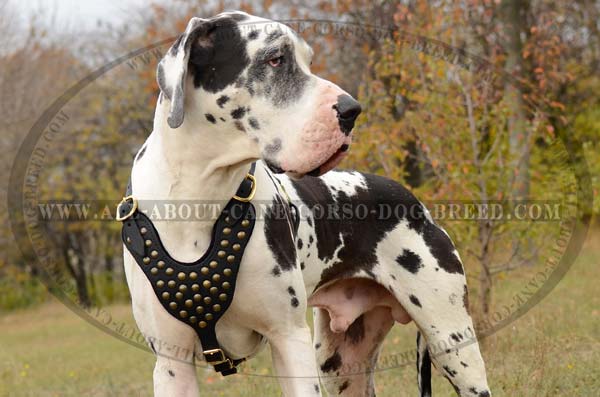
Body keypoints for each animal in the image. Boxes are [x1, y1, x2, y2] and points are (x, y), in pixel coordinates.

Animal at [123, 10, 492, 394]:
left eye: (308, 61)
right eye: (275, 58)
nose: (352, 110)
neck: (201, 197)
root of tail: (413, 202)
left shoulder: (288, 338)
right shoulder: (172, 363)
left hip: (452, 343)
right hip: (341, 364)